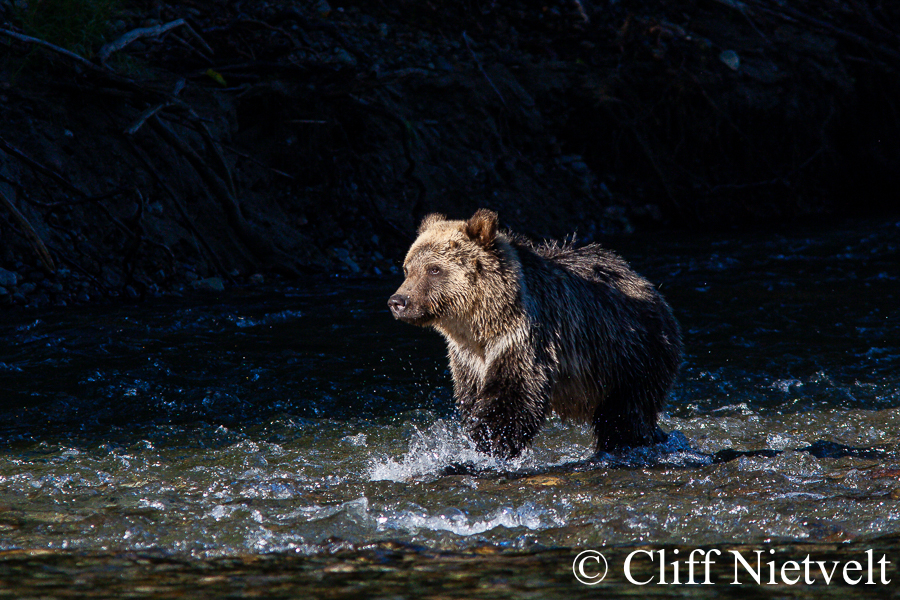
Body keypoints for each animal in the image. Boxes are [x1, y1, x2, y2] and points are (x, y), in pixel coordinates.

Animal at [386, 209, 684, 458]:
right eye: (407, 268)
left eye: (434, 269)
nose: (398, 301)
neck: (482, 323)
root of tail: (650, 288)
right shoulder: (467, 357)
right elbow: (471, 400)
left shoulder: (525, 338)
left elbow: (514, 396)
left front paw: (490, 444)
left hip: (630, 358)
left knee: (625, 416)